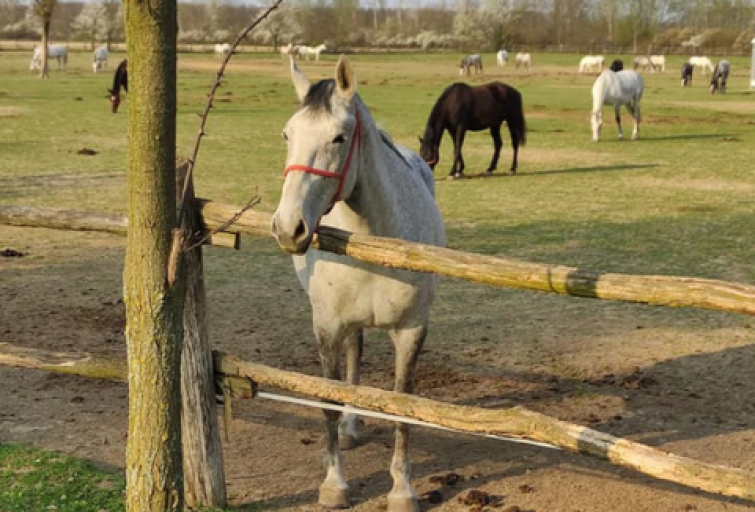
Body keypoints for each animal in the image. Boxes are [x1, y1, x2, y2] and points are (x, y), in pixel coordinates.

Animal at [274, 55, 446, 512]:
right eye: (287, 134)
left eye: (338, 137)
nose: (288, 227)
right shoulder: (327, 327)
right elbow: (328, 401)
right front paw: (334, 484)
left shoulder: (411, 330)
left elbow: (402, 405)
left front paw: (402, 489)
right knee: (353, 358)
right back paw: (350, 428)